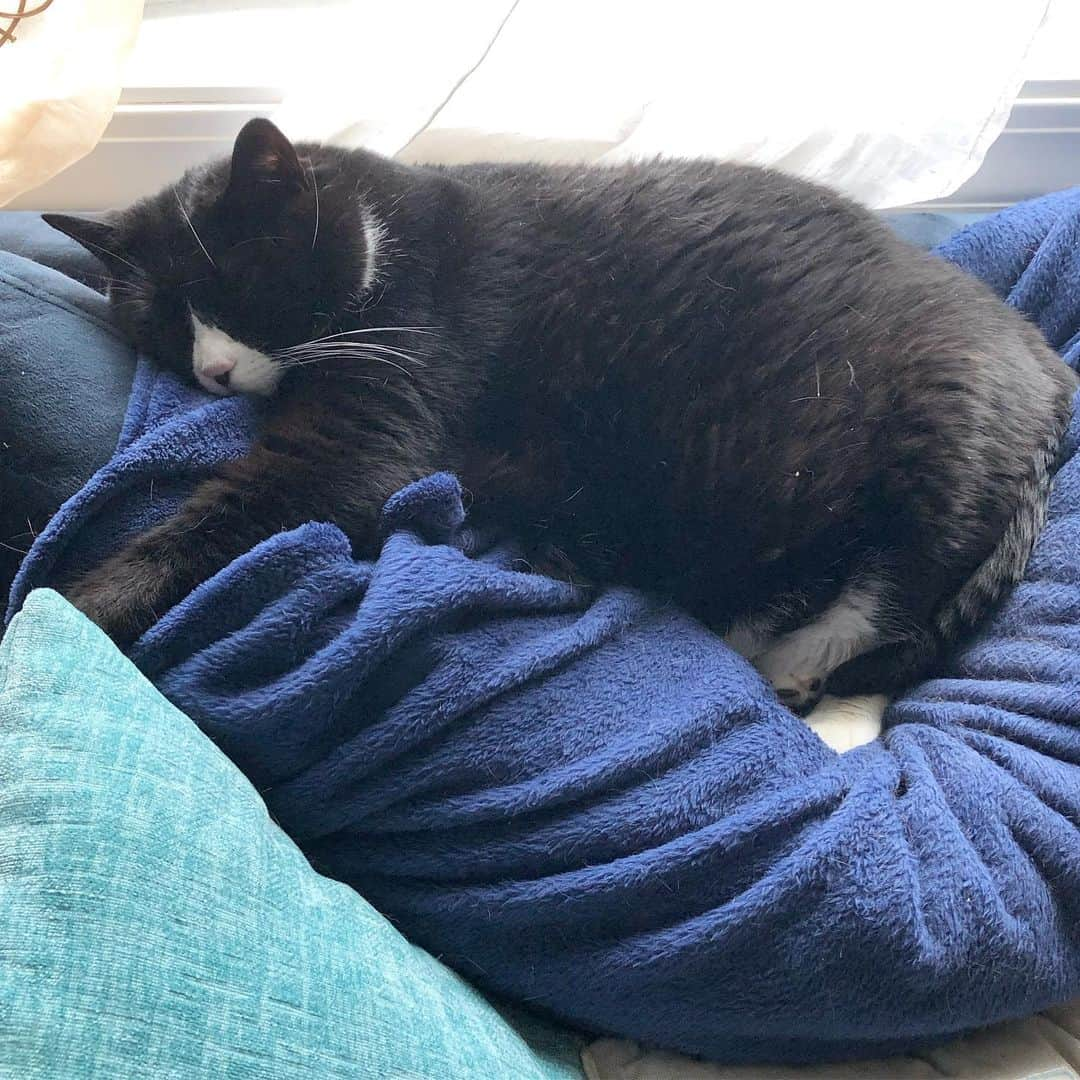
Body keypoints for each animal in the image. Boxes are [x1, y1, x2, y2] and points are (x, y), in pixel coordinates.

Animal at [44, 116, 1080, 708]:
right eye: (158, 319)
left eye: (243, 287)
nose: (214, 372)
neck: (380, 228)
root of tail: (1042, 360)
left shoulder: (379, 412)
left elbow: (229, 513)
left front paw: (77, 604)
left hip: (937, 439)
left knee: (893, 588)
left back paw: (786, 662)